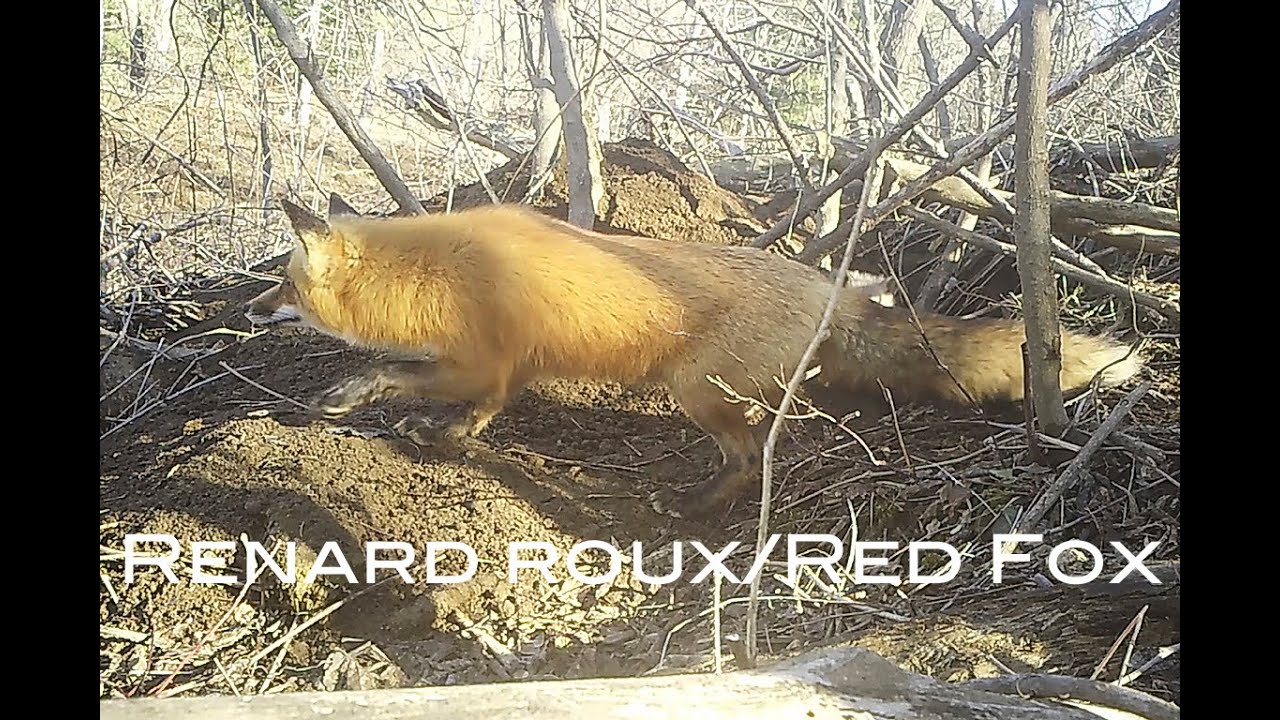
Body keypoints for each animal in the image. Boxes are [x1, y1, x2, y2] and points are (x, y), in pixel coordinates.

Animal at [244, 194, 1141, 520]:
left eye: (281, 281)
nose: (248, 310)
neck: (435, 269)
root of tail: (833, 287)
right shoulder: (506, 370)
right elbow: (479, 414)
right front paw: (445, 439)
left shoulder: (478, 359)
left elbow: (398, 377)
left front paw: (353, 396)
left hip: (692, 391)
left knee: (753, 453)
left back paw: (701, 507)